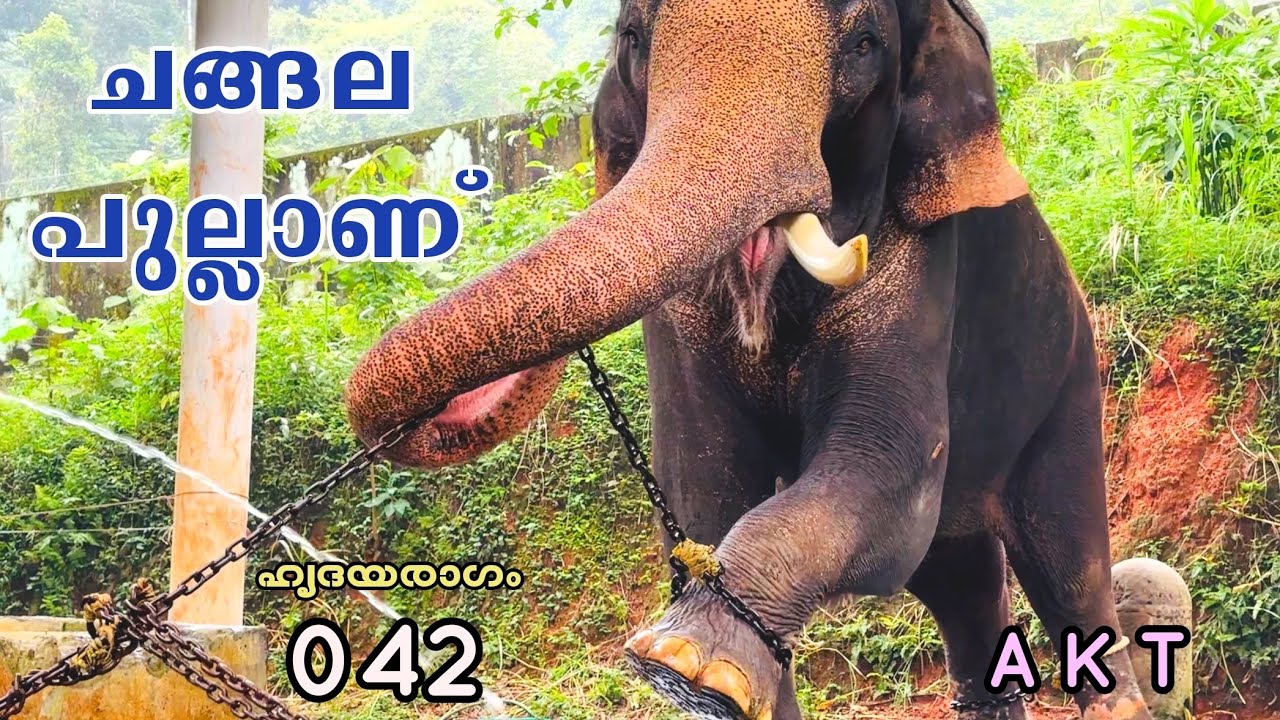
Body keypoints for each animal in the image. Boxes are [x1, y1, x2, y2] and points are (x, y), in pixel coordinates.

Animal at [344, 0, 1157, 719]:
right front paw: (723, 679)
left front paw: (684, 664)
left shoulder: (925, 261)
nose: (448, 406)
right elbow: (703, 483)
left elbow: (883, 474)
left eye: (863, 45)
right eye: (633, 36)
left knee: (1067, 567)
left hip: (1069, 382)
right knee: (961, 576)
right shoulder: (680, 324)